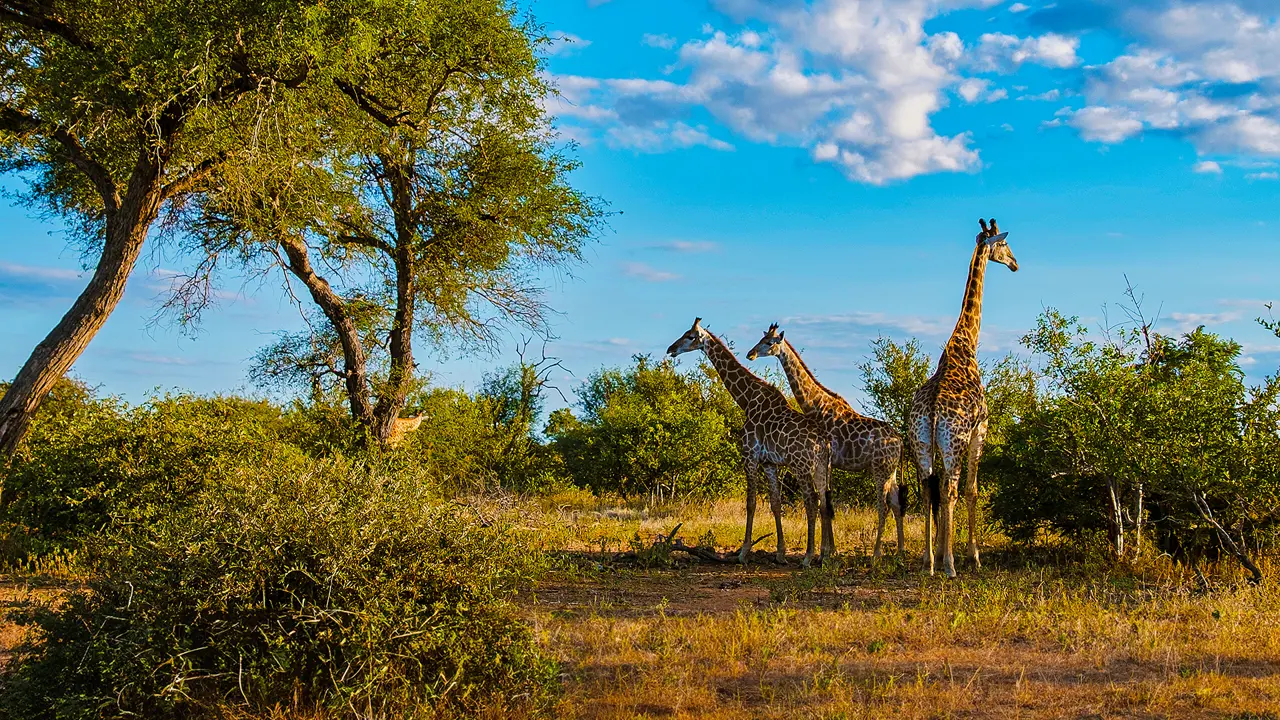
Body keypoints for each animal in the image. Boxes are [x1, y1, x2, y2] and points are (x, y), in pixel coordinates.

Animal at [665, 316, 834, 563]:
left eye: (690, 336)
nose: (671, 349)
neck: (747, 400)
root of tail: (824, 442)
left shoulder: (749, 456)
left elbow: (751, 503)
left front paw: (744, 552)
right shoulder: (769, 462)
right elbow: (775, 503)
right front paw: (780, 553)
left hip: (801, 465)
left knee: (811, 501)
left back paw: (808, 556)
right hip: (822, 466)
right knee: (823, 501)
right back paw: (825, 555)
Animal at [747, 326, 906, 561]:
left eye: (769, 342)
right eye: (762, 338)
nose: (750, 354)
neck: (815, 405)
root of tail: (901, 441)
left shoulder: (827, 459)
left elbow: (825, 502)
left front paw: (826, 552)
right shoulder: (829, 462)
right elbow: (827, 503)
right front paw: (832, 550)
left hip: (880, 469)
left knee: (883, 506)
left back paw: (876, 554)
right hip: (891, 471)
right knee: (895, 503)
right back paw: (900, 552)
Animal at [911, 215, 1018, 573]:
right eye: (1004, 244)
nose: (1015, 264)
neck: (964, 342)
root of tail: (931, 411)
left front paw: (940, 552)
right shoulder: (980, 428)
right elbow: (972, 490)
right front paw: (973, 555)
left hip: (921, 443)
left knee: (929, 489)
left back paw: (930, 560)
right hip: (954, 441)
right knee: (951, 489)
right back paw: (950, 564)